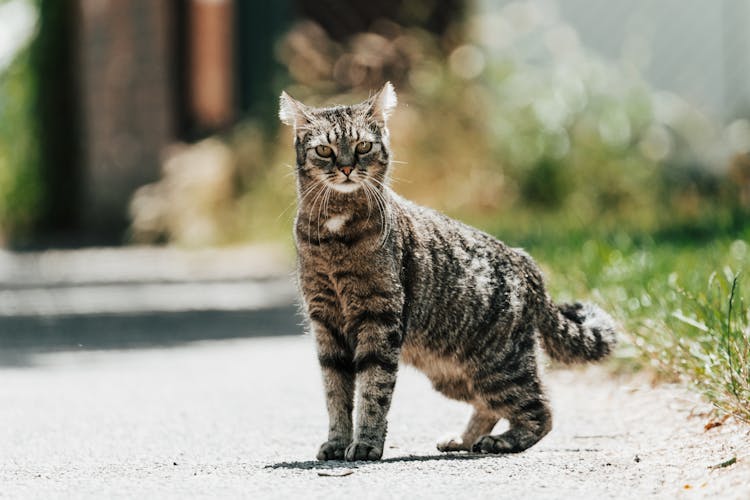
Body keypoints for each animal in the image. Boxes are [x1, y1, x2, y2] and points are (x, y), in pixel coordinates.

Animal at [280, 81, 620, 460]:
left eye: (362, 146)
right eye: (324, 150)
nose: (345, 168)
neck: (336, 232)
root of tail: (525, 262)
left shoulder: (379, 319)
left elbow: (373, 390)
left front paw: (366, 443)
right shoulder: (325, 322)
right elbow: (335, 392)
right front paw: (338, 442)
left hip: (501, 366)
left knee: (540, 411)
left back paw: (501, 441)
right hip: (455, 376)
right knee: (490, 405)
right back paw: (465, 439)